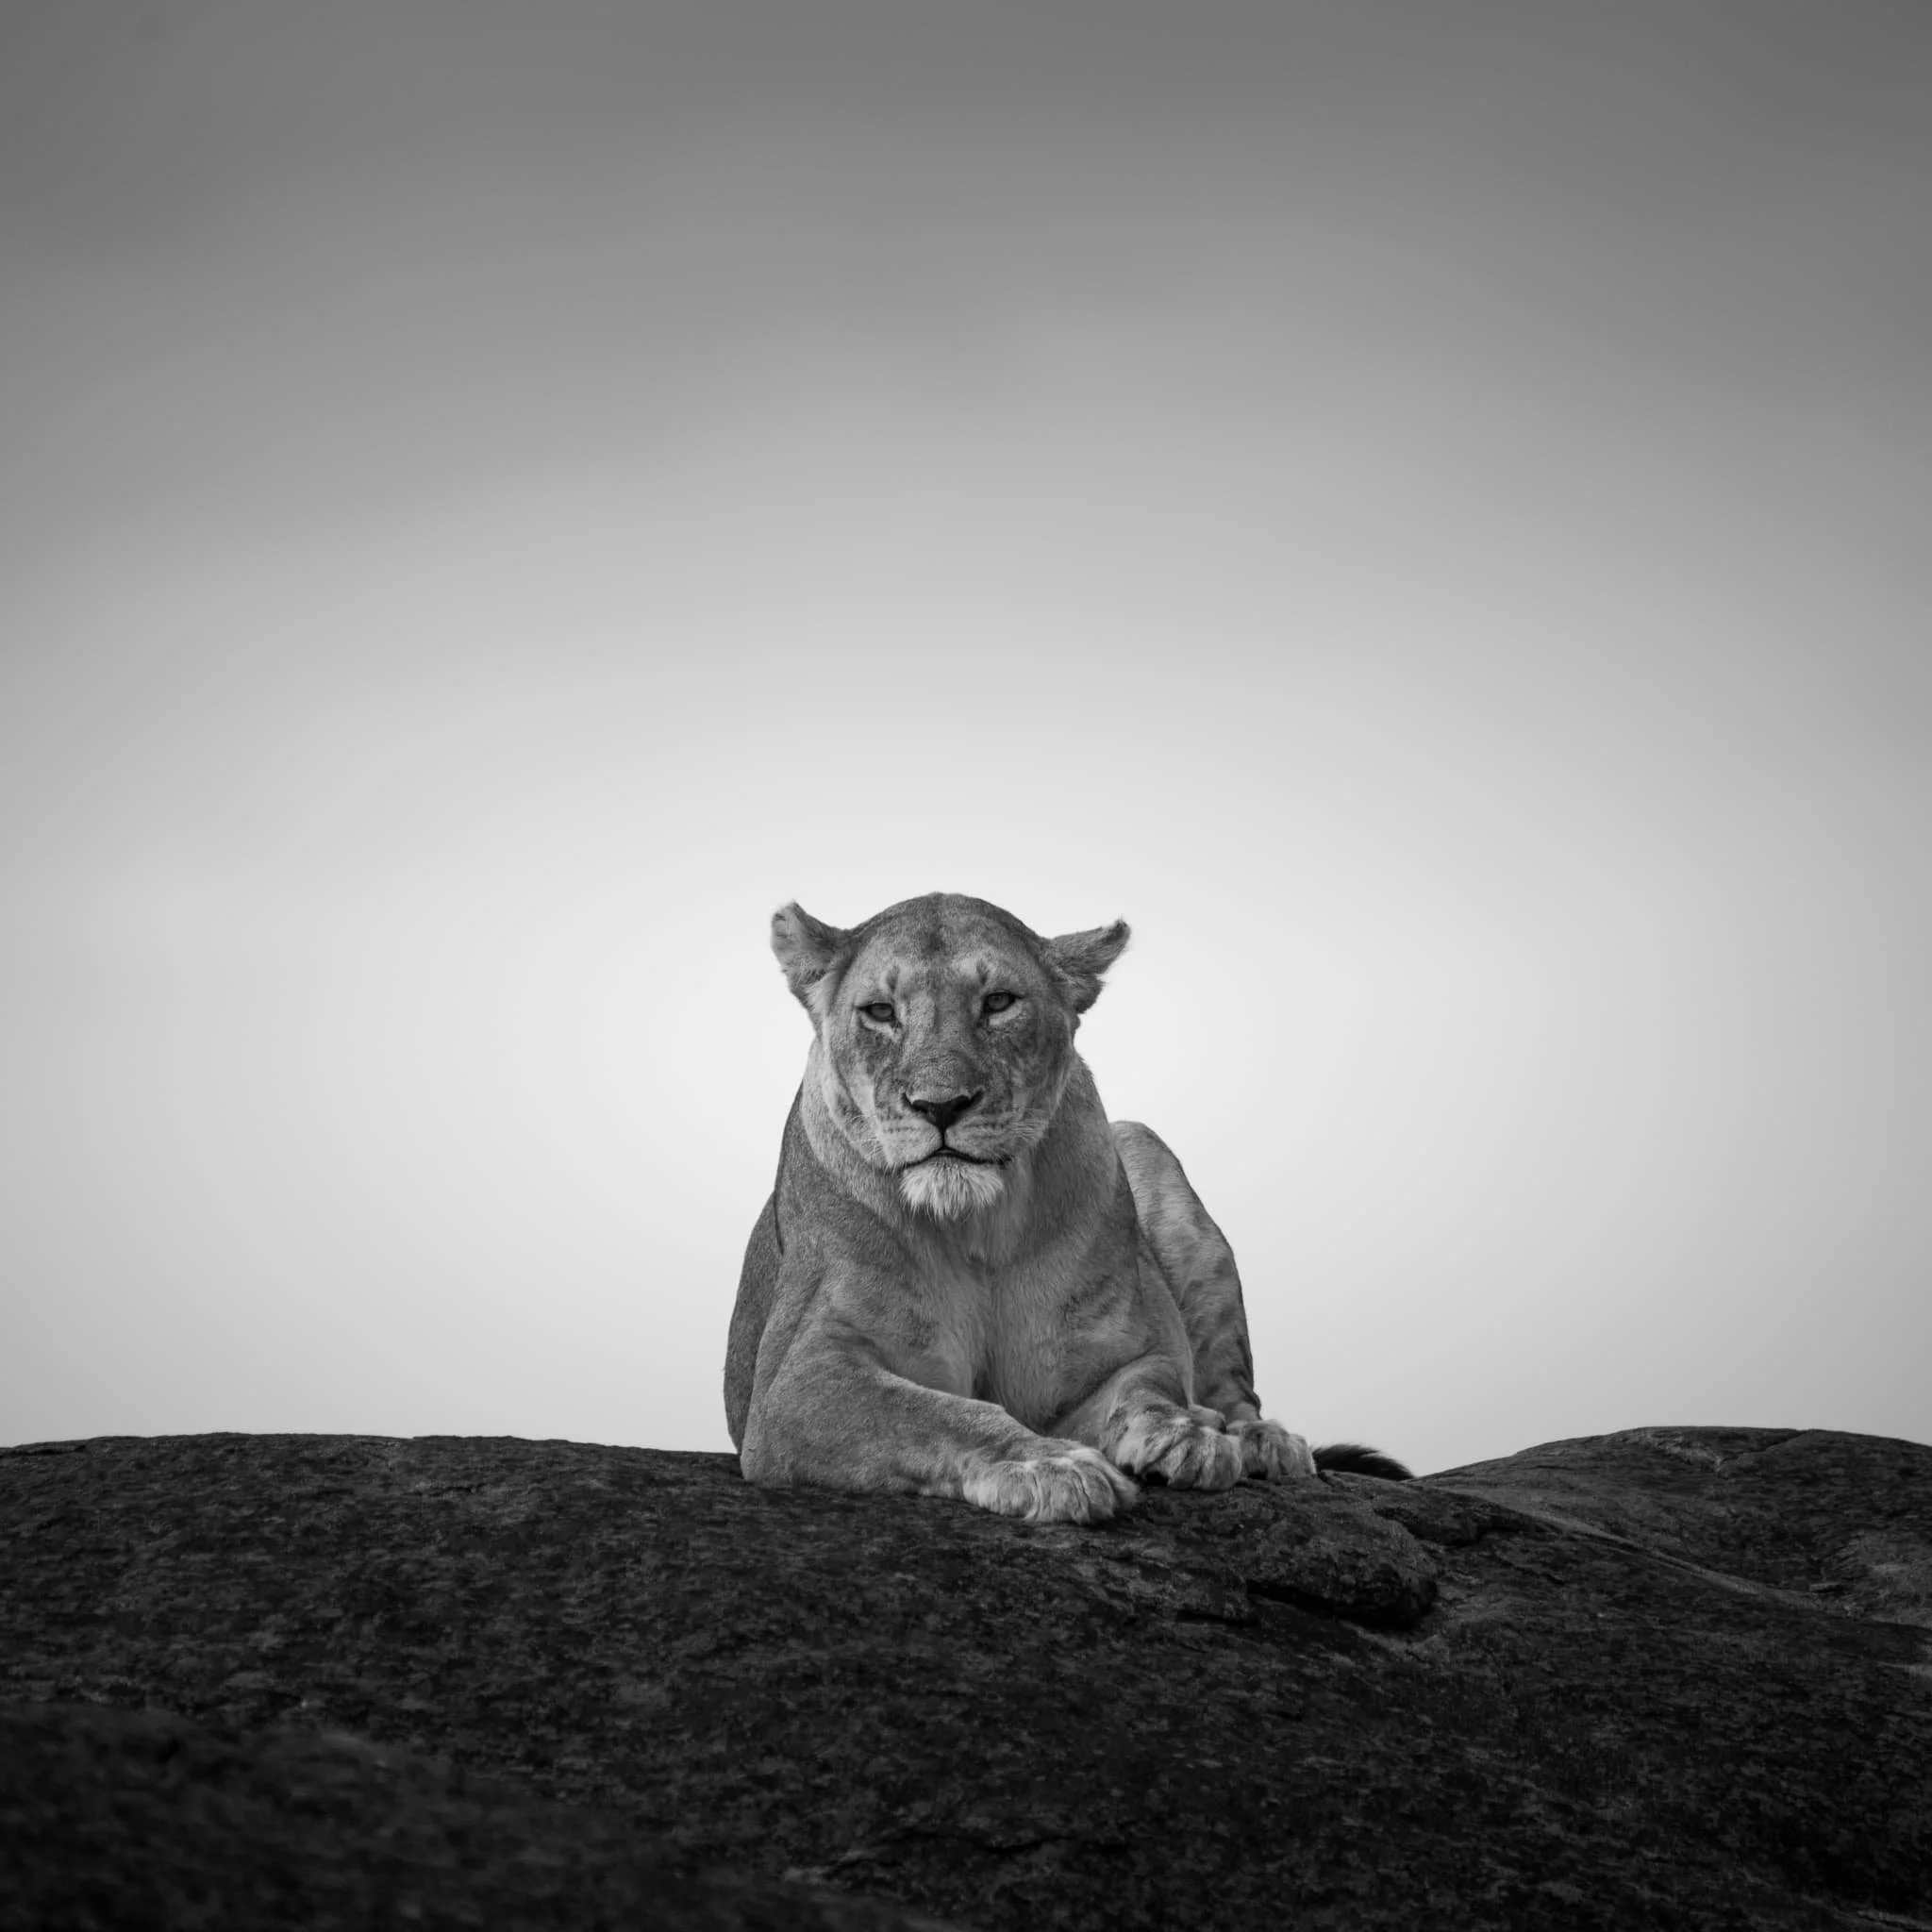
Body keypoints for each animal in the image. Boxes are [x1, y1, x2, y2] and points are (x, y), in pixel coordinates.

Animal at [724, 892, 1406, 1523]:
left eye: (998, 1002)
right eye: (880, 1012)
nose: (941, 1105)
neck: (976, 1227)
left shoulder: (1127, 1349)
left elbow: (1153, 1383)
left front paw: (1183, 1435)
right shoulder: (795, 1382)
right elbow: (932, 1413)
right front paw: (1048, 1465)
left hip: (1151, 1154)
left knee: (1236, 1391)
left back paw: (1261, 1441)